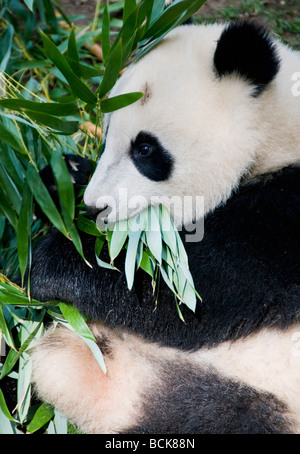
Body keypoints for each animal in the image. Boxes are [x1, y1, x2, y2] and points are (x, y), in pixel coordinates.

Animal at [28, 19, 300, 434]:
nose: (96, 205)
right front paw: (62, 182)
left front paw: (44, 263)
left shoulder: (280, 224)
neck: (274, 136)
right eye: (105, 136)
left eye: (145, 149)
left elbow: (183, 297)